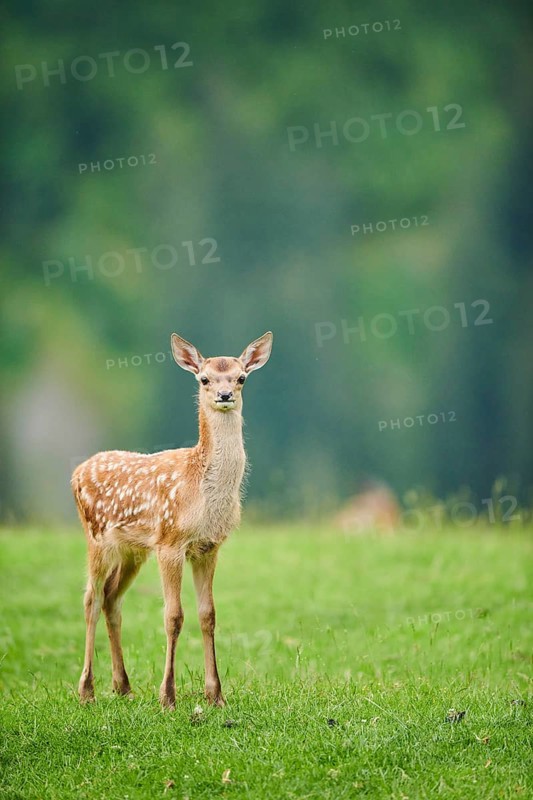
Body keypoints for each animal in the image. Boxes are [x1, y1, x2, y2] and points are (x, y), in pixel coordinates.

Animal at [71, 331, 273, 709]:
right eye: (204, 379)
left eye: (241, 378)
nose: (224, 395)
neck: (203, 492)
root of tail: (77, 471)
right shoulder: (170, 541)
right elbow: (173, 616)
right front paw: (168, 696)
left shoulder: (209, 547)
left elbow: (208, 615)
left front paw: (216, 695)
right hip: (97, 536)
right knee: (91, 598)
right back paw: (87, 690)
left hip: (132, 550)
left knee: (111, 597)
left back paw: (123, 686)